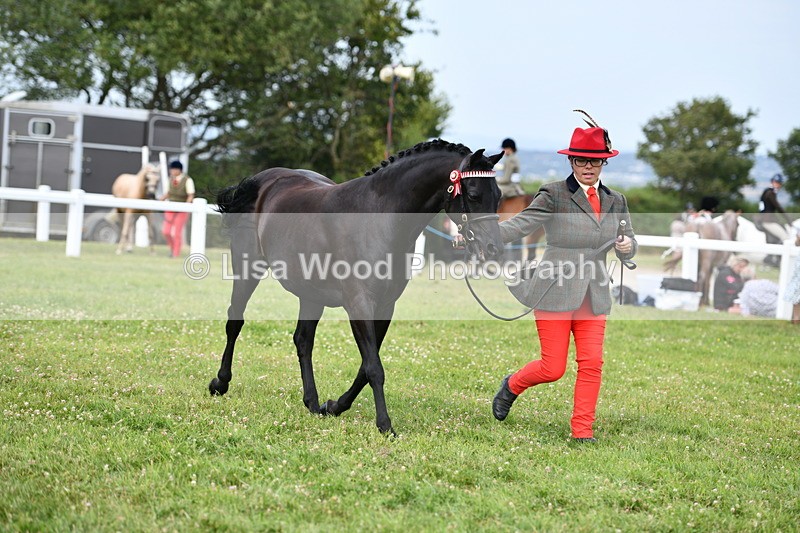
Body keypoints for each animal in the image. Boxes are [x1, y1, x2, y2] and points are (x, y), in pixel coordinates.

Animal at [209, 140, 504, 435]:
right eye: (474, 195)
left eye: (499, 195)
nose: (494, 248)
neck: (379, 217)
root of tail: (264, 180)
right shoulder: (359, 304)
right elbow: (374, 366)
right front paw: (385, 425)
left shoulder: (385, 306)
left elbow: (365, 366)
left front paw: (335, 406)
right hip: (248, 268)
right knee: (235, 321)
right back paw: (220, 383)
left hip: (311, 294)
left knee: (303, 340)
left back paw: (313, 402)